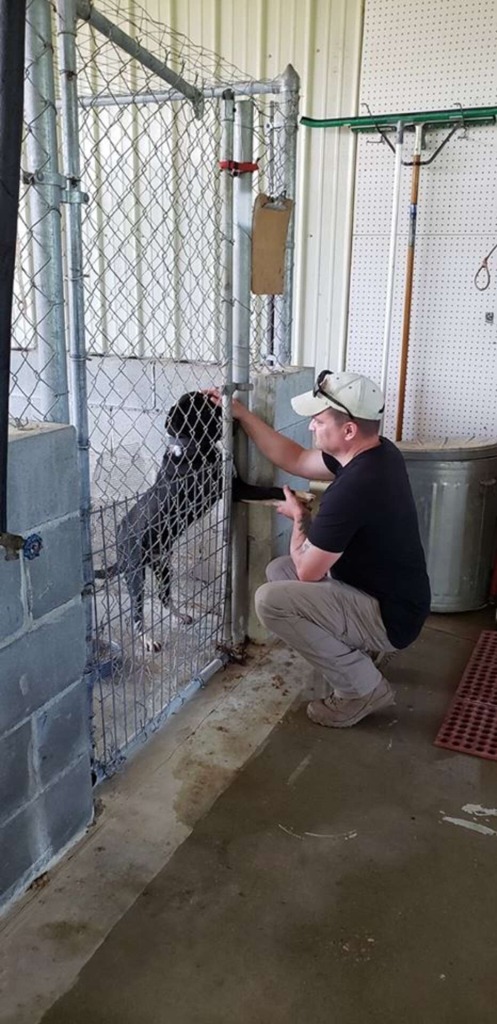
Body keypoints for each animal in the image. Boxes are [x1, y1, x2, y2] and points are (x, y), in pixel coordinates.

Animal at [95, 393, 286, 647]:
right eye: (205, 407)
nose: (227, 406)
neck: (189, 446)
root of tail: (119, 536)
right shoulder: (235, 489)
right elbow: (269, 490)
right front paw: (296, 496)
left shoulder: (237, 488)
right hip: (136, 573)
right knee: (136, 612)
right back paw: (147, 639)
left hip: (163, 565)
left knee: (164, 596)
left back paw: (180, 616)